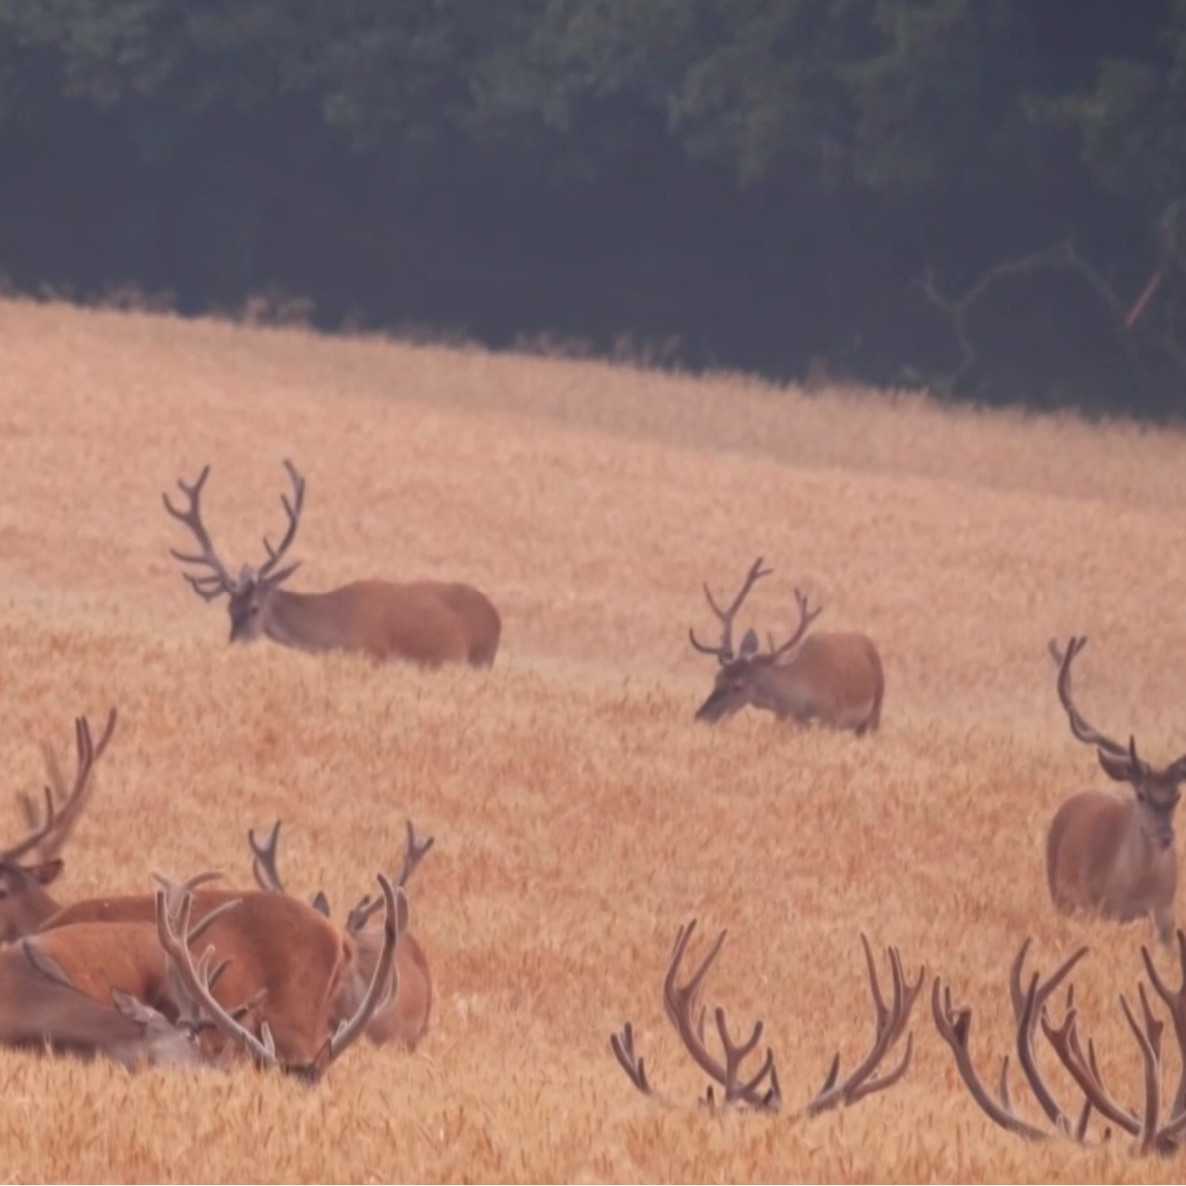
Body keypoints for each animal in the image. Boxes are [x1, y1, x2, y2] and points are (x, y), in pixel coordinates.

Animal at [163, 457, 500, 668]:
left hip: (481, 659)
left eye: (255, 608)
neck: (337, 628)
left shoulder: (374, 655)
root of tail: (495, 614)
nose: (235, 647)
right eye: (229, 609)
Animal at [687, 555, 882, 730]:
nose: (701, 717)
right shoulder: (784, 720)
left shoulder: (830, 719)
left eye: (738, 685)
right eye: (717, 677)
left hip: (873, 714)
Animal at [1053, 640, 1181, 944]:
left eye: (1177, 796)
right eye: (1141, 794)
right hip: (1058, 894)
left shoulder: (1165, 910)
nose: (1166, 837)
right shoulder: (1091, 904)